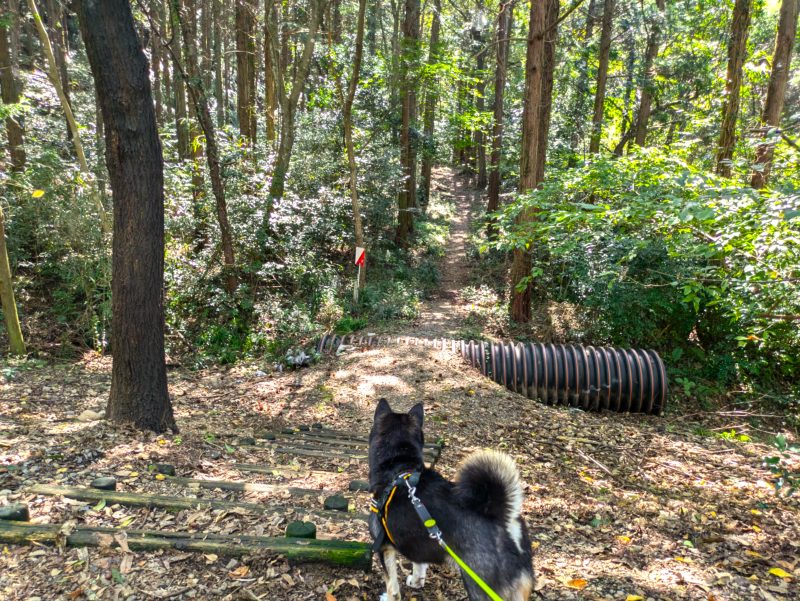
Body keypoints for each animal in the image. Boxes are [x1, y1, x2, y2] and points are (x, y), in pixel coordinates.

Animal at [370, 398, 536, 600]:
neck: (400, 468)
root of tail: (502, 518)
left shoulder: (383, 548)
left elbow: (392, 586)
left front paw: (388, 596)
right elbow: (419, 565)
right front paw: (417, 582)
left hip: (480, 588)